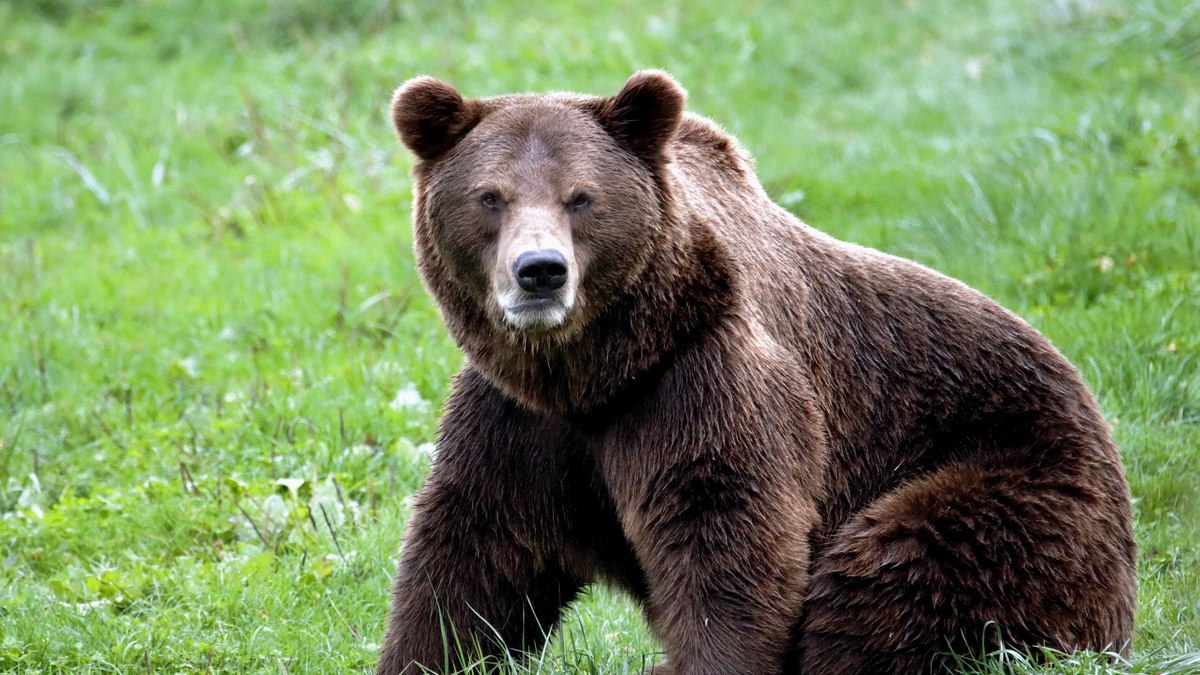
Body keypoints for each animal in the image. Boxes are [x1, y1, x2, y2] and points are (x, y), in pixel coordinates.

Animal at [376, 70, 1136, 674]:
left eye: (581, 197)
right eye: (491, 196)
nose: (540, 271)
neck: (593, 373)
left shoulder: (700, 379)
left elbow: (726, 536)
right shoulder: (521, 422)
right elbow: (472, 557)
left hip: (1016, 480)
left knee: (895, 571)